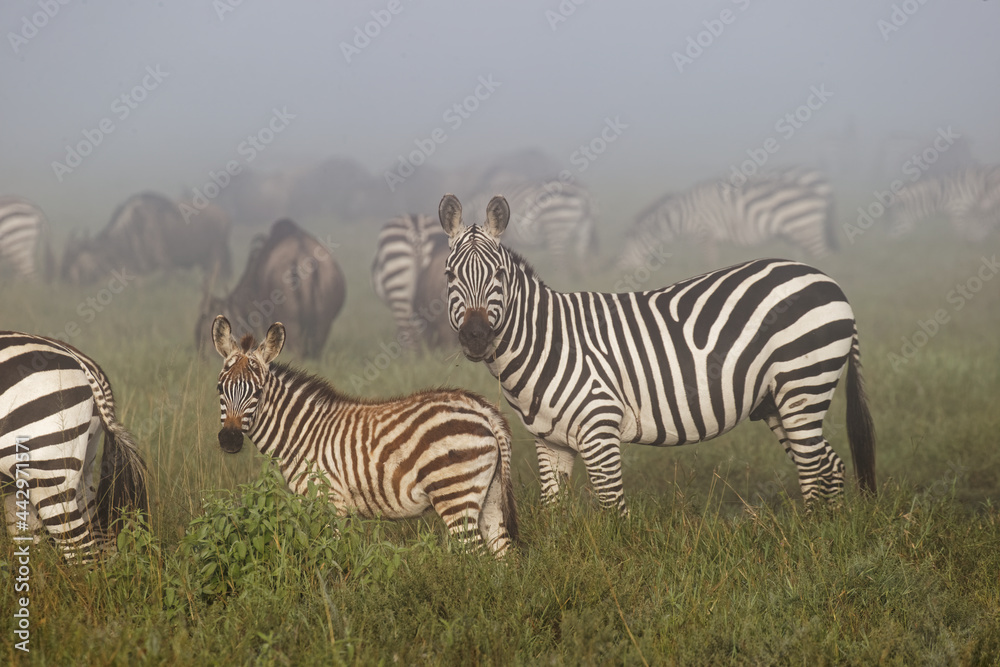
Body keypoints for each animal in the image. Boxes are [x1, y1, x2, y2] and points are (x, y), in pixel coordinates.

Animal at [211, 315, 518, 556]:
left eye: (258, 391)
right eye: (220, 388)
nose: (229, 441)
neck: (302, 433)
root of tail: (483, 409)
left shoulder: (329, 502)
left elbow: (329, 557)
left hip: (455, 494)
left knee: (475, 554)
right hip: (489, 495)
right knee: (503, 554)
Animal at [439, 194, 876, 515]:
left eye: (498, 275)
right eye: (449, 275)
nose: (476, 337)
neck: (546, 341)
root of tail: (826, 279)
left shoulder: (599, 426)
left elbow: (613, 509)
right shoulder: (549, 440)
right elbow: (553, 509)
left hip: (803, 382)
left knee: (814, 466)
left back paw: (817, 539)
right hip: (776, 400)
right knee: (828, 466)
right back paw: (830, 533)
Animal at [619, 167, 836, 270]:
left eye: (626, 250)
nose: (618, 271)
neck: (681, 215)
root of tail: (816, 194)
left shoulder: (705, 233)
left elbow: (708, 262)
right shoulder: (708, 237)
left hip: (806, 229)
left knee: (825, 258)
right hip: (796, 234)